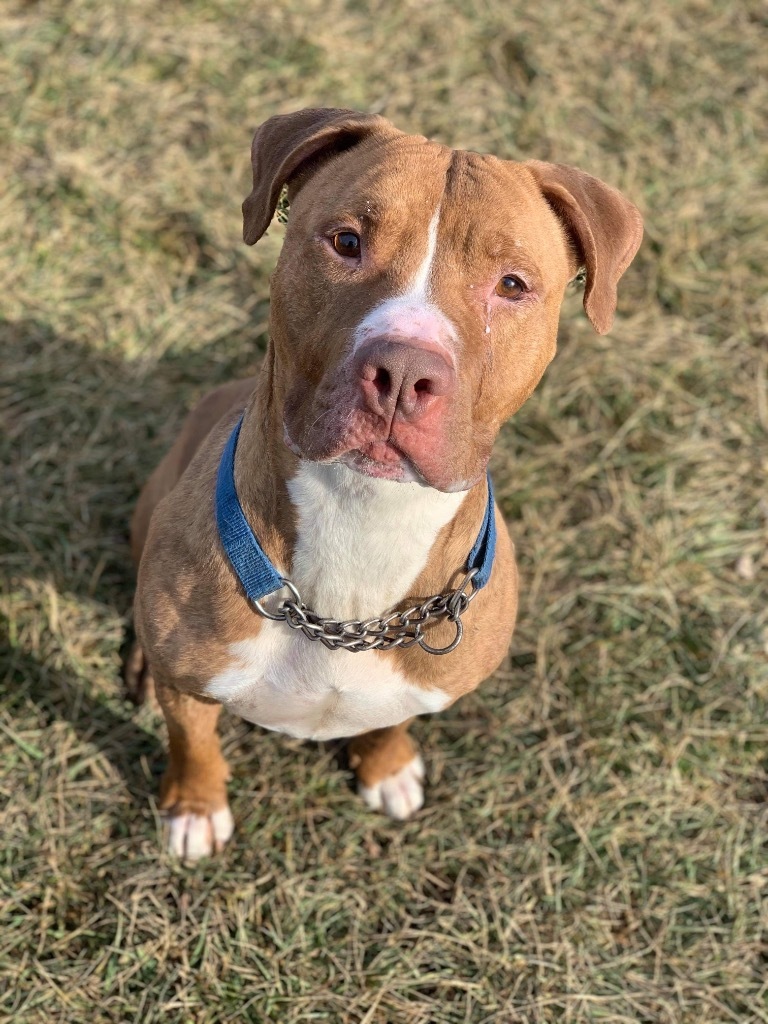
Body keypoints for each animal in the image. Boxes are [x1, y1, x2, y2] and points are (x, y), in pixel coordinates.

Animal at [128, 105, 643, 856]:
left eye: (512, 284)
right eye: (347, 241)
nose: (403, 372)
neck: (363, 518)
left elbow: (395, 718)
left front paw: (386, 765)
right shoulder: (192, 686)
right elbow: (192, 741)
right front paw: (195, 807)